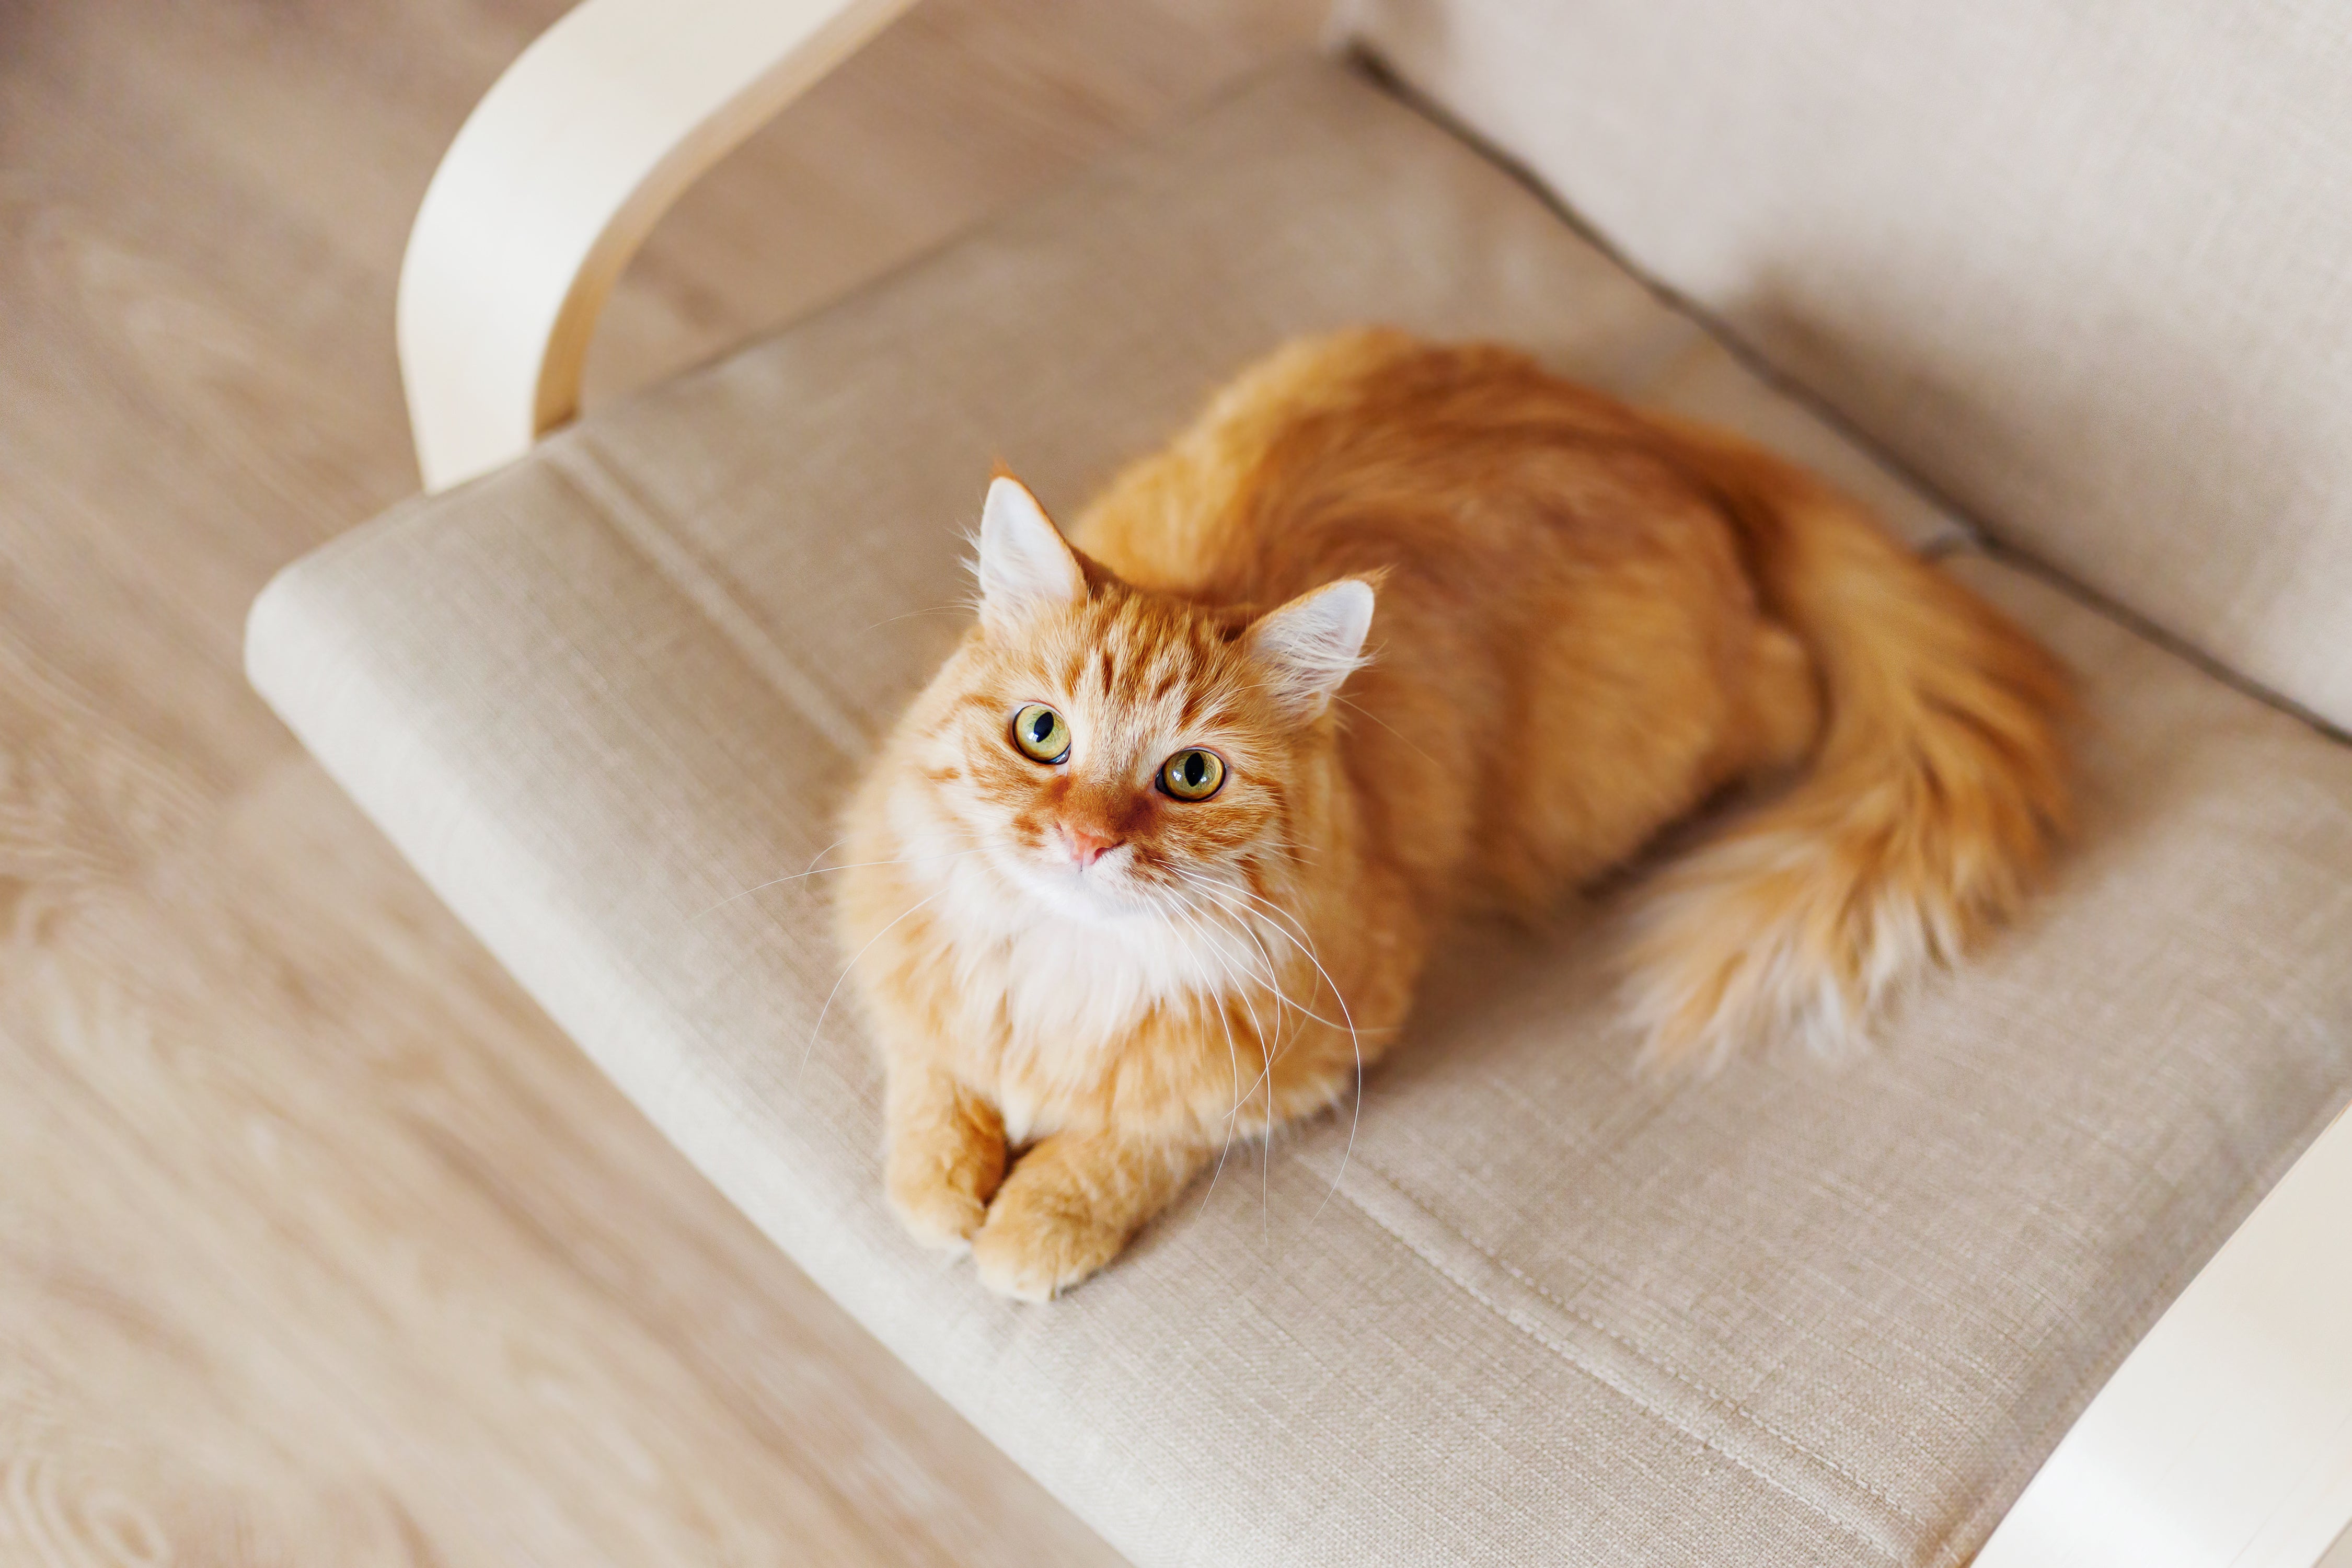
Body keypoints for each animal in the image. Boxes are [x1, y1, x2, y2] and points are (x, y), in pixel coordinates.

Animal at [837, 331, 2070, 1297]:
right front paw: (941, 1189)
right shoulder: (894, 934)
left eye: (1191, 776)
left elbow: (1138, 1137)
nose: (1089, 841)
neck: (1068, 970)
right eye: (1042, 735)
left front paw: (1035, 1222)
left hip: (1629, 769)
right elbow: (930, 1077)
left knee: (1791, 687)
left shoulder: (1315, 1051)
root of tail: (1642, 431)